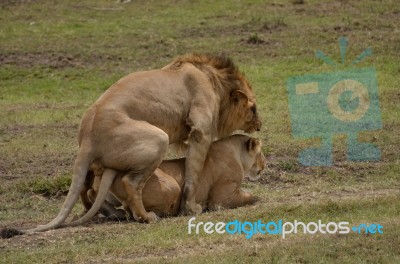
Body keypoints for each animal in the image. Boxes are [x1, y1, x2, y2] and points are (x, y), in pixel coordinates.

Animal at [77, 135, 266, 222]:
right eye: (261, 153)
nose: (265, 164)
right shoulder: (221, 198)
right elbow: (250, 196)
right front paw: (259, 198)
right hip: (172, 185)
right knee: (132, 208)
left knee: (93, 193)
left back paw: (114, 213)